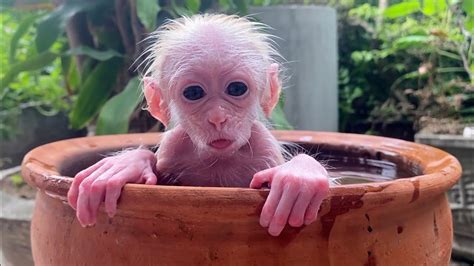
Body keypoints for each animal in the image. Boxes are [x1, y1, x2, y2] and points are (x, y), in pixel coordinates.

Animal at [68, 13, 330, 236]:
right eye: (194, 93)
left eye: (236, 88)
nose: (217, 118)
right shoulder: (172, 146)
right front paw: (128, 163)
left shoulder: (263, 144)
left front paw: (298, 177)